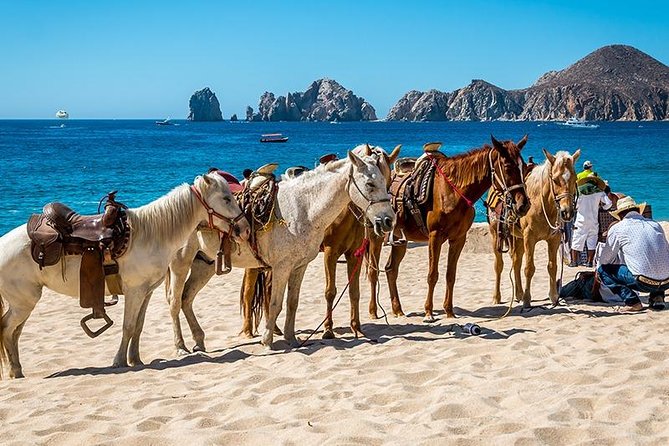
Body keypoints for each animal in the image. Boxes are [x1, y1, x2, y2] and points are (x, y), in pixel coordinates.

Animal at [0, 172, 250, 378]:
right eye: (226, 199)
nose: (245, 229)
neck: (151, 234)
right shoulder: (134, 290)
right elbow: (128, 326)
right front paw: (119, 361)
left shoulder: (147, 292)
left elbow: (138, 325)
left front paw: (135, 359)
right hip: (24, 302)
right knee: (7, 328)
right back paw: (14, 370)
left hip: (23, 304)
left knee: (14, 333)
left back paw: (17, 370)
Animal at [165, 146, 395, 352]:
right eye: (370, 183)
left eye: (386, 181)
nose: (388, 221)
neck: (303, 209)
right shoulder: (282, 267)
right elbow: (276, 303)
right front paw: (267, 340)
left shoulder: (299, 266)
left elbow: (292, 302)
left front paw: (291, 338)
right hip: (180, 264)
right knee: (175, 301)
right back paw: (181, 346)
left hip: (204, 265)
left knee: (186, 298)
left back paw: (199, 341)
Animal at [381, 136, 530, 322]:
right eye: (507, 167)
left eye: (524, 167)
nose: (523, 205)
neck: (452, 191)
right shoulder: (435, 237)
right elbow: (432, 275)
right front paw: (428, 312)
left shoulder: (458, 238)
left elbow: (450, 275)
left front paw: (449, 311)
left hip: (400, 240)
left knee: (390, 269)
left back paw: (398, 310)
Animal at [490, 148, 580, 308]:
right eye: (555, 180)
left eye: (574, 178)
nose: (567, 212)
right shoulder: (529, 238)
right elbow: (529, 268)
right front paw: (527, 300)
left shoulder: (554, 239)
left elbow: (552, 267)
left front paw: (554, 297)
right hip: (496, 235)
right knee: (499, 265)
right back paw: (497, 297)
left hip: (517, 238)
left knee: (516, 261)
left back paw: (518, 294)